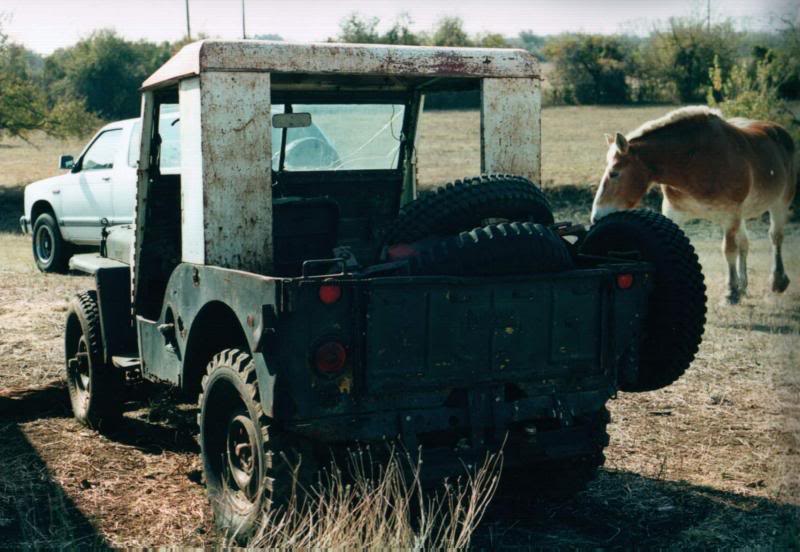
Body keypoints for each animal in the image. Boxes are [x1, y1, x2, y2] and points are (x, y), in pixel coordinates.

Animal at [590, 106, 797, 304]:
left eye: (614, 173)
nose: (596, 217)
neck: (697, 161)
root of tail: (778, 130)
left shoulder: (730, 215)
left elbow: (729, 250)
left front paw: (730, 292)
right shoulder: (674, 213)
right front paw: (735, 289)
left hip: (779, 203)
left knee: (775, 237)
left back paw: (777, 280)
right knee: (745, 244)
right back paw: (744, 287)